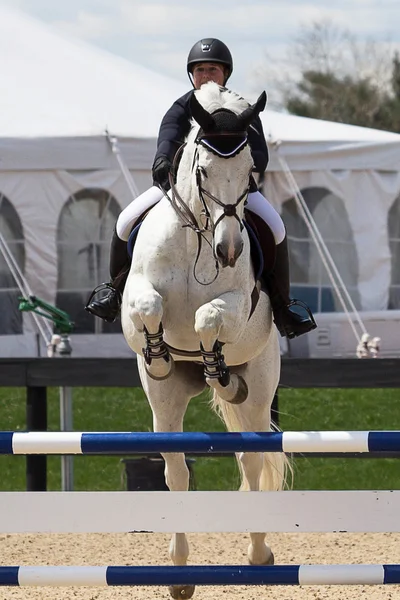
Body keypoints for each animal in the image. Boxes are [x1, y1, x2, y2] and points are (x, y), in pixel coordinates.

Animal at [121, 81, 288, 600]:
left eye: (250, 171)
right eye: (203, 169)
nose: (229, 251)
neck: (197, 238)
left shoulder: (236, 303)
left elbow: (206, 317)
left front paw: (214, 360)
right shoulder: (137, 296)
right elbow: (149, 309)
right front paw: (158, 353)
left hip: (261, 386)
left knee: (252, 459)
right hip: (165, 404)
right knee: (176, 471)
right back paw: (179, 572)